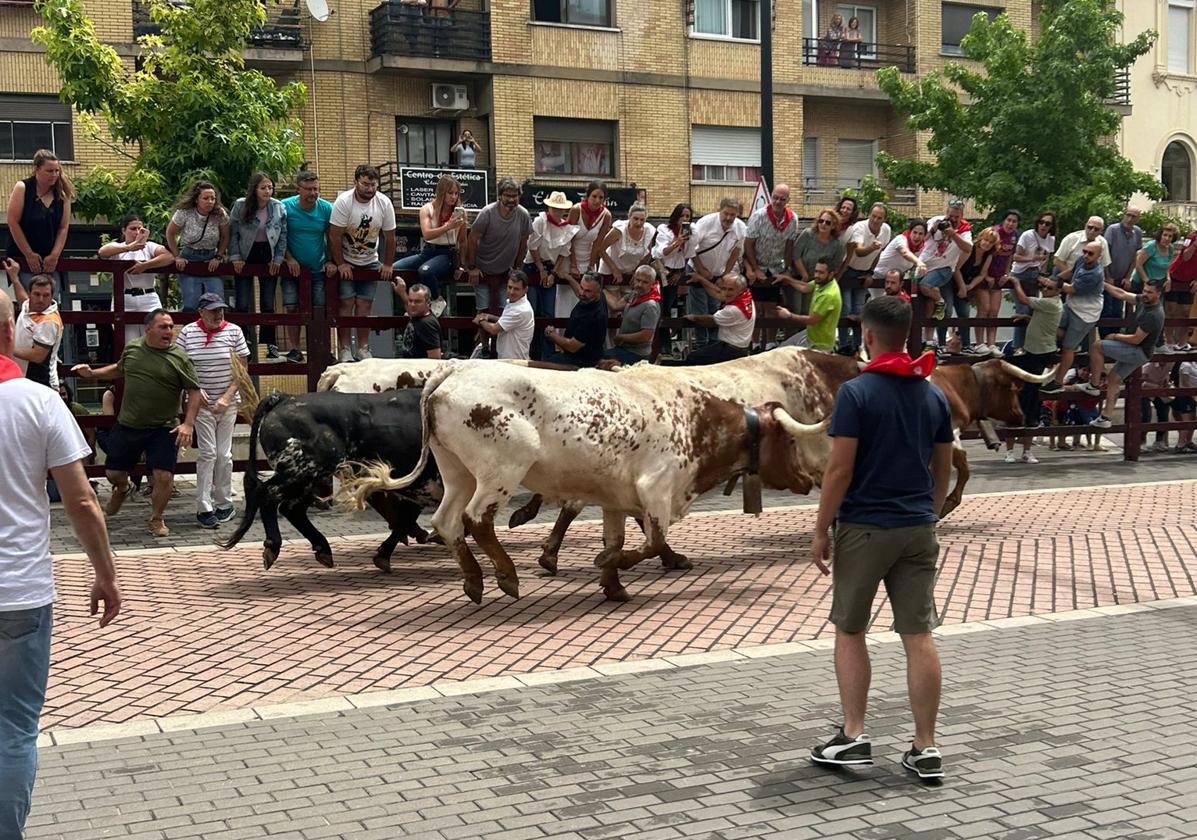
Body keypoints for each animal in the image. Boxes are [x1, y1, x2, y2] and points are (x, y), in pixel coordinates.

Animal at [217, 392, 442, 576]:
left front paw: (384, 555)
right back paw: (273, 546)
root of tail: (284, 398)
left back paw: (322, 549)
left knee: (291, 508)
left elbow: (406, 519)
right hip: (304, 470)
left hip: (311, 477)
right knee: (268, 494)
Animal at [337, 361, 823, 605]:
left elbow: (617, 539)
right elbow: (651, 541)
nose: (807, 478)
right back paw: (506, 576)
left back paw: (474, 581)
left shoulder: (615, 499)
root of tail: (450, 371)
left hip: (457, 471)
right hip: (500, 471)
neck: (695, 419)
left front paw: (613, 583)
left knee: (447, 522)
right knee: (477, 520)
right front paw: (612, 567)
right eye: (790, 440)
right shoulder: (657, 490)